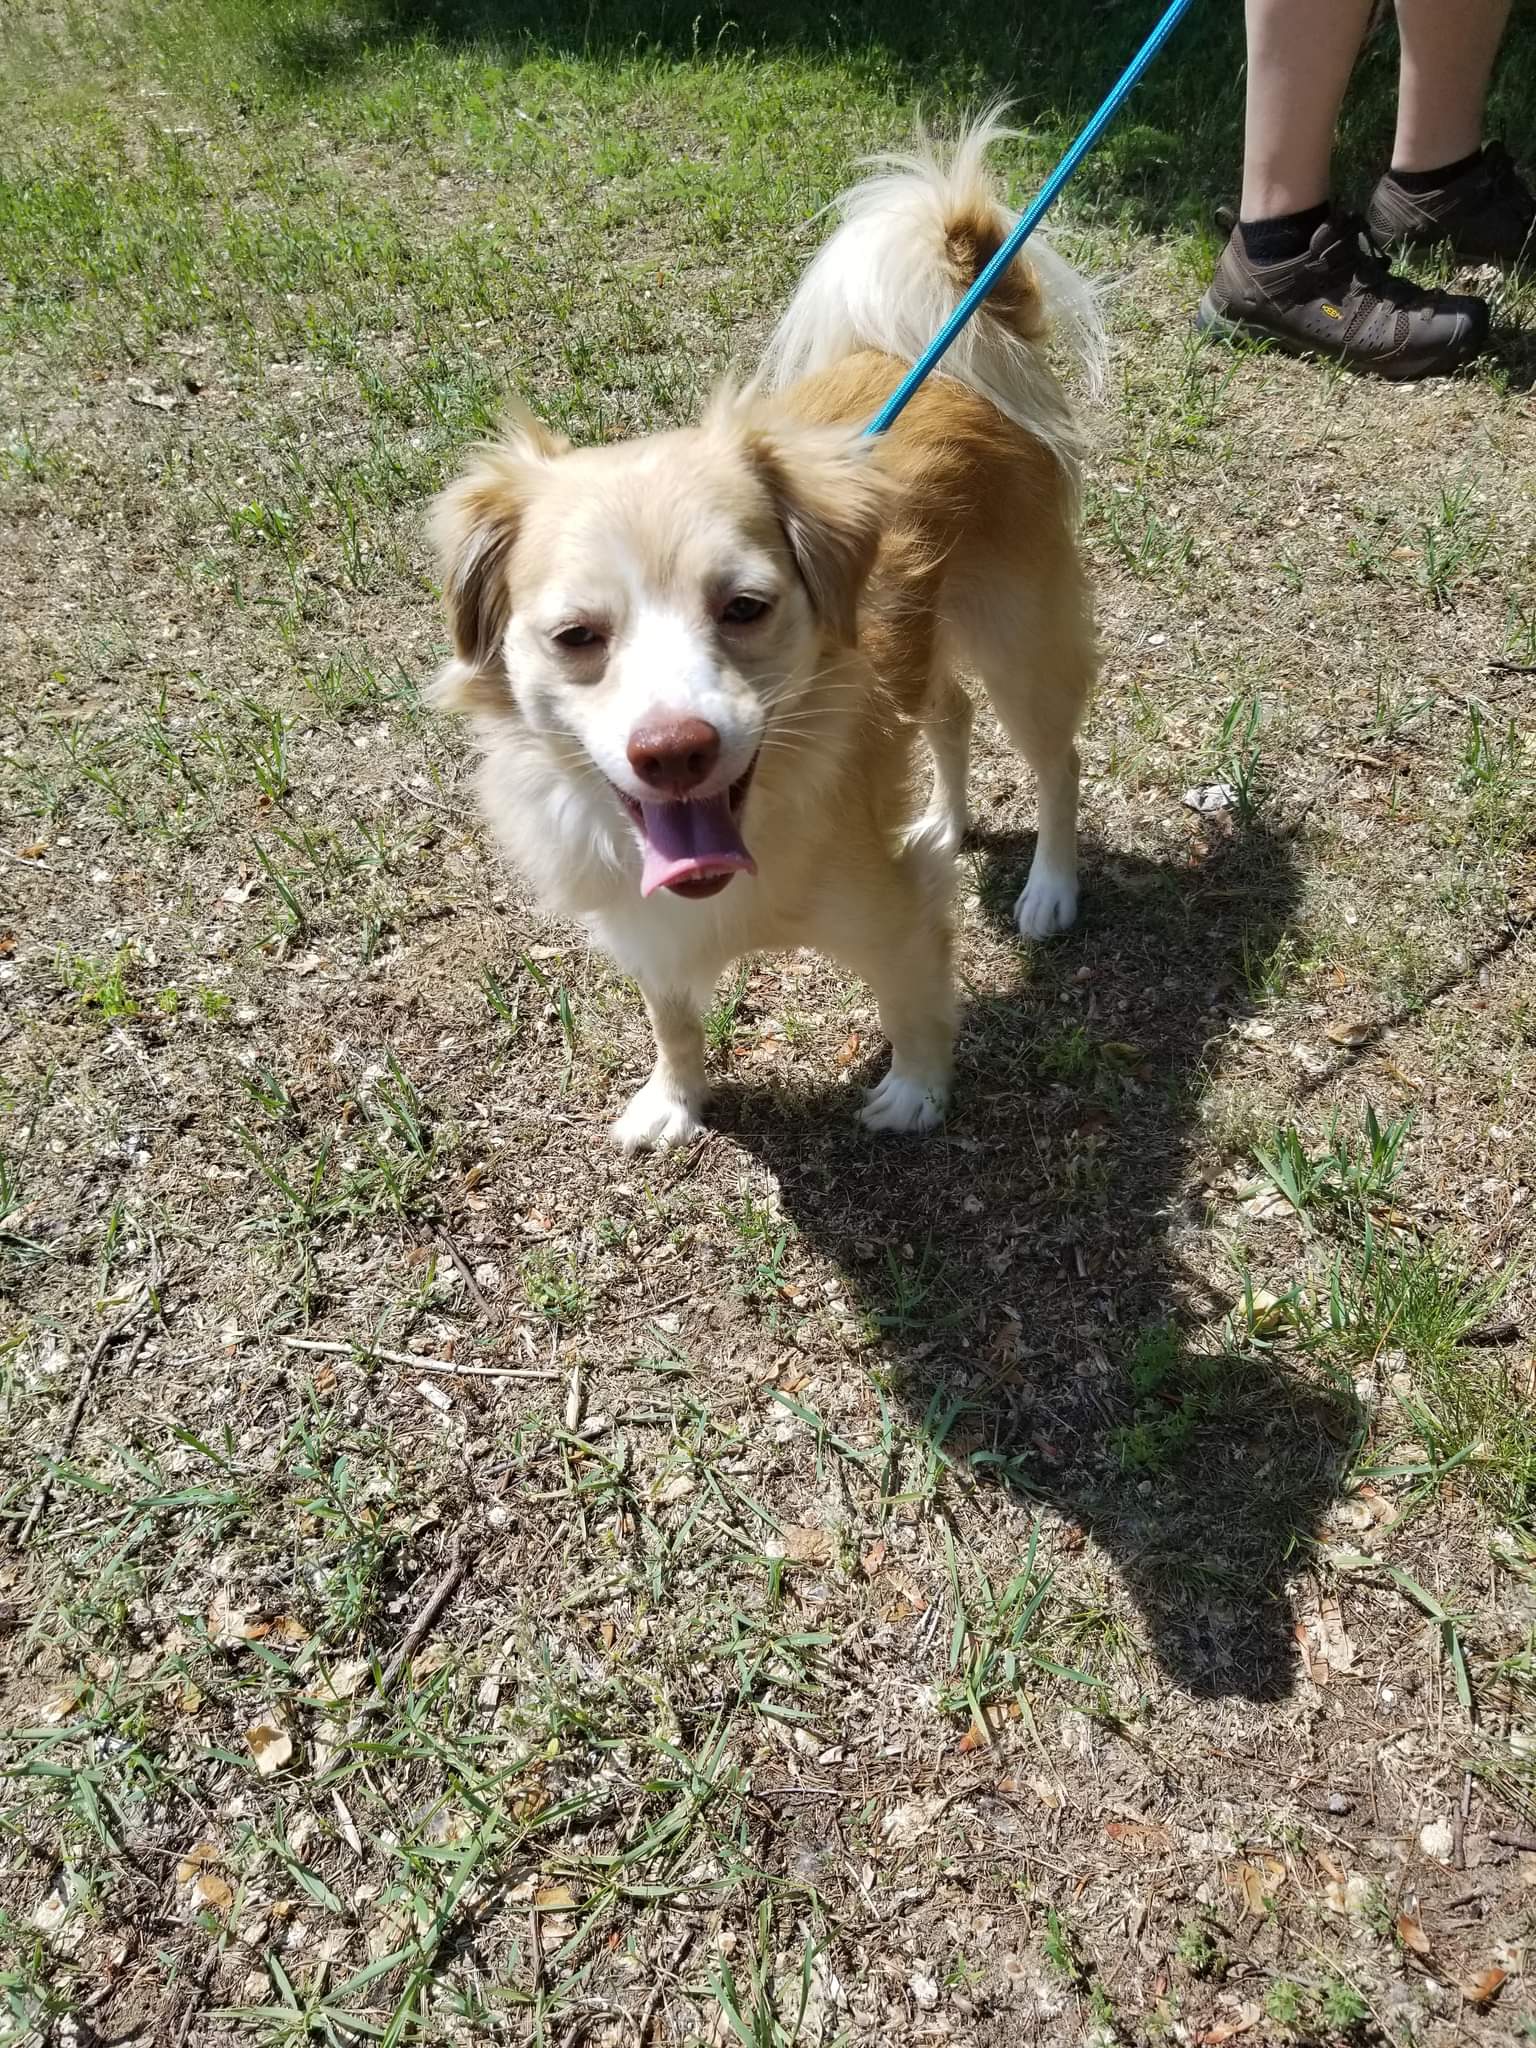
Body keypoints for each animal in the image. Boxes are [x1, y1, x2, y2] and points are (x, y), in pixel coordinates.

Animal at [429, 111, 1103, 1151]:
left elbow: (915, 1000)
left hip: (1020, 639)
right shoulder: (650, 926)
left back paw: (1050, 888)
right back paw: (945, 820)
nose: (674, 750)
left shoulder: (892, 911)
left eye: (744, 607)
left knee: (1054, 760)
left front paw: (916, 1093)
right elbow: (672, 1017)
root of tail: (953, 358)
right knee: (947, 714)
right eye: (577, 636)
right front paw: (674, 1100)